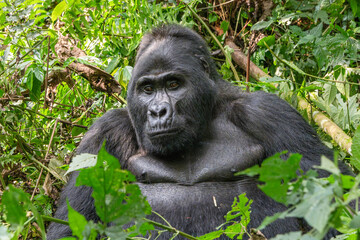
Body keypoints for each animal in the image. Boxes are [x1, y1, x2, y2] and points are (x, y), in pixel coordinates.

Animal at [47, 25, 338, 239]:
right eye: (148, 89)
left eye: (173, 84)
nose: (158, 111)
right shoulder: (104, 133)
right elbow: (72, 224)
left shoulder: (269, 113)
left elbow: (328, 192)